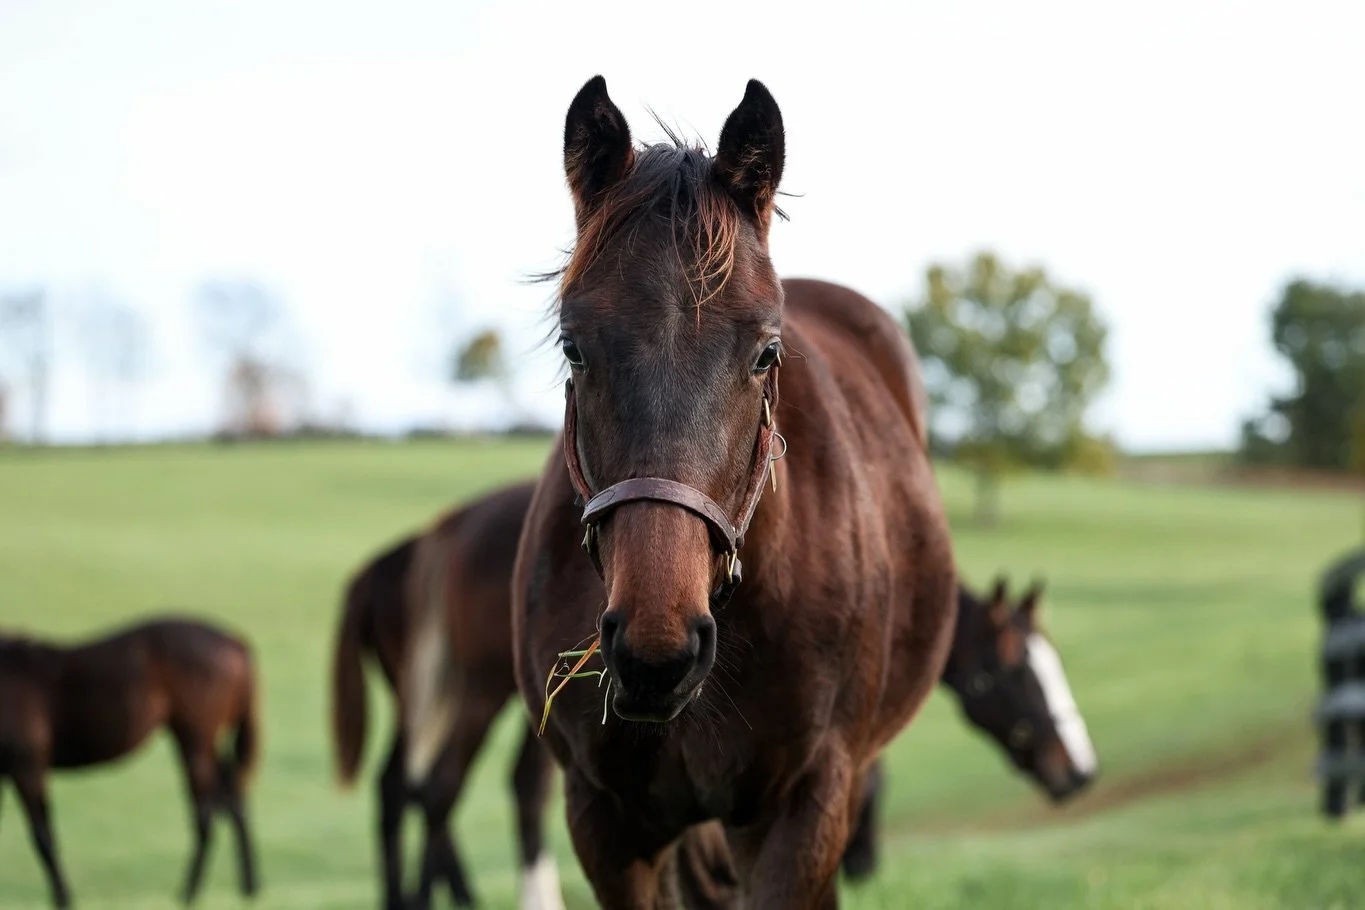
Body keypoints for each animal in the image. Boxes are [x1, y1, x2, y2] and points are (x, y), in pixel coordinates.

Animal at [0, 617, 260, 909]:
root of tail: (235, 642)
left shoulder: (27, 767)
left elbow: (43, 836)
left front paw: (63, 898)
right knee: (233, 796)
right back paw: (248, 888)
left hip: (195, 741)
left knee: (206, 813)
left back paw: (188, 893)